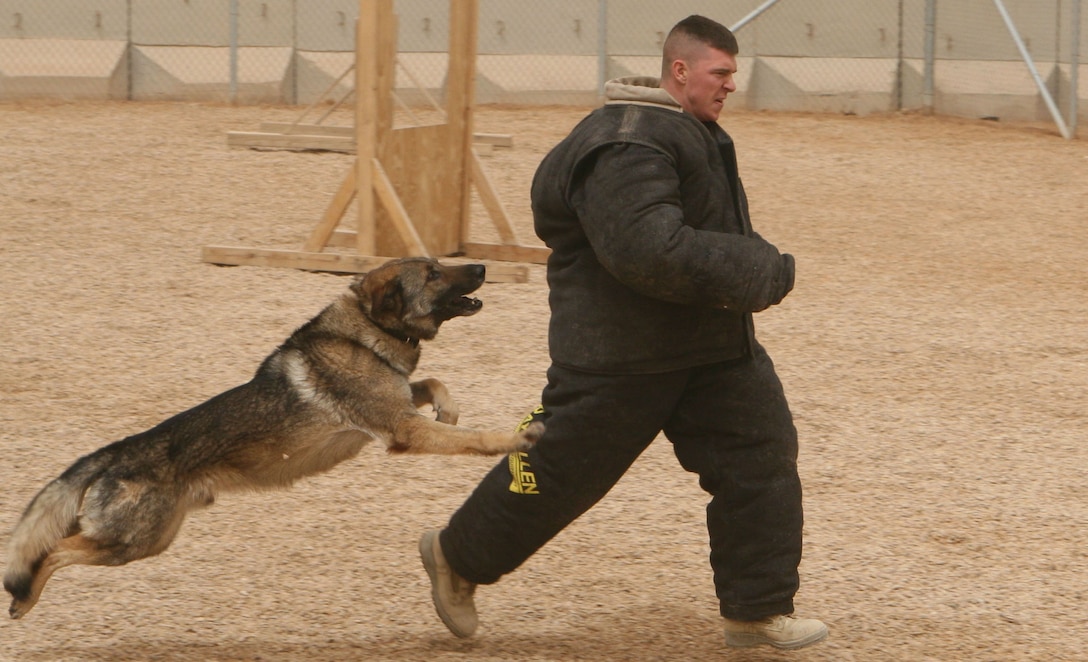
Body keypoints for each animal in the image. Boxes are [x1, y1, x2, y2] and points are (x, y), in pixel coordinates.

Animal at [1, 255, 544, 618]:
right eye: (431, 273)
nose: (481, 265)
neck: (363, 329)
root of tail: (114, 454)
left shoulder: (398, 411)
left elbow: (432, 384)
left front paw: (449, 406)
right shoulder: (404, 429)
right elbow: (477, 437)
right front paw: (517, 440)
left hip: (141, 540)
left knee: (55, 542)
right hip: (132, 542)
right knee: (51, 552)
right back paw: (23, 600)